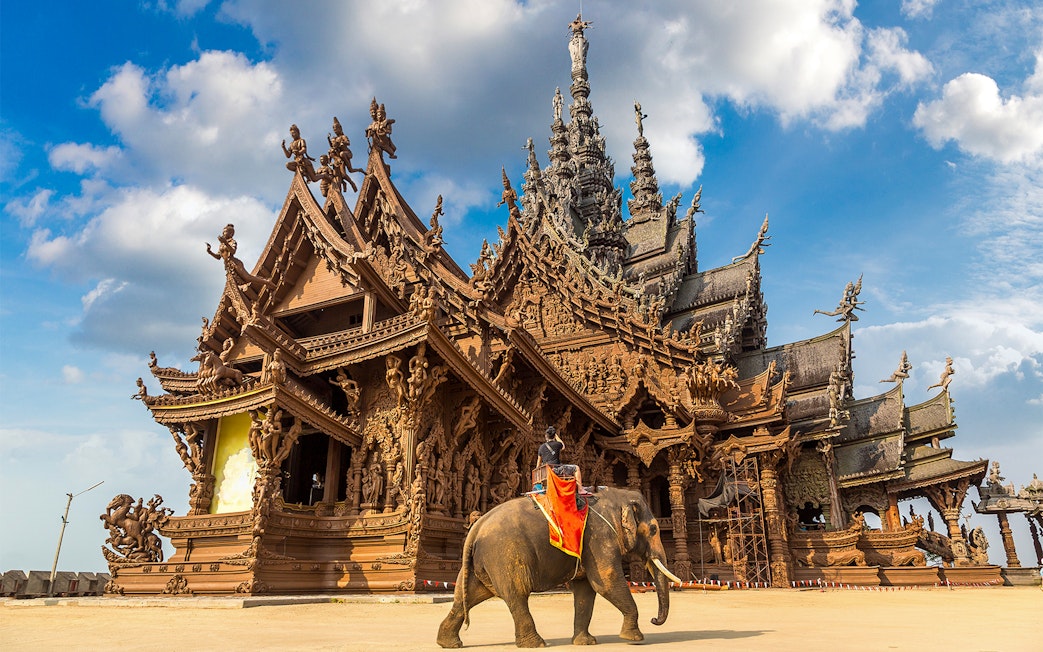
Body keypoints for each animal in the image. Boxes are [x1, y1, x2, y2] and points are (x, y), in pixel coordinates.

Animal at [437, 486, 681, 648]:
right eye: (653, 529)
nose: (654, 620)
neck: (615, 495)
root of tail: (476, 528)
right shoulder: (599, 537)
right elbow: (606, 581)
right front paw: (634, 639)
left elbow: (585, 590)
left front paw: (585, 643)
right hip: (504, 555)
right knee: (516, 595)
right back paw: (536, 644)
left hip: (481, 563)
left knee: (467, 595)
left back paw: (448, 643)